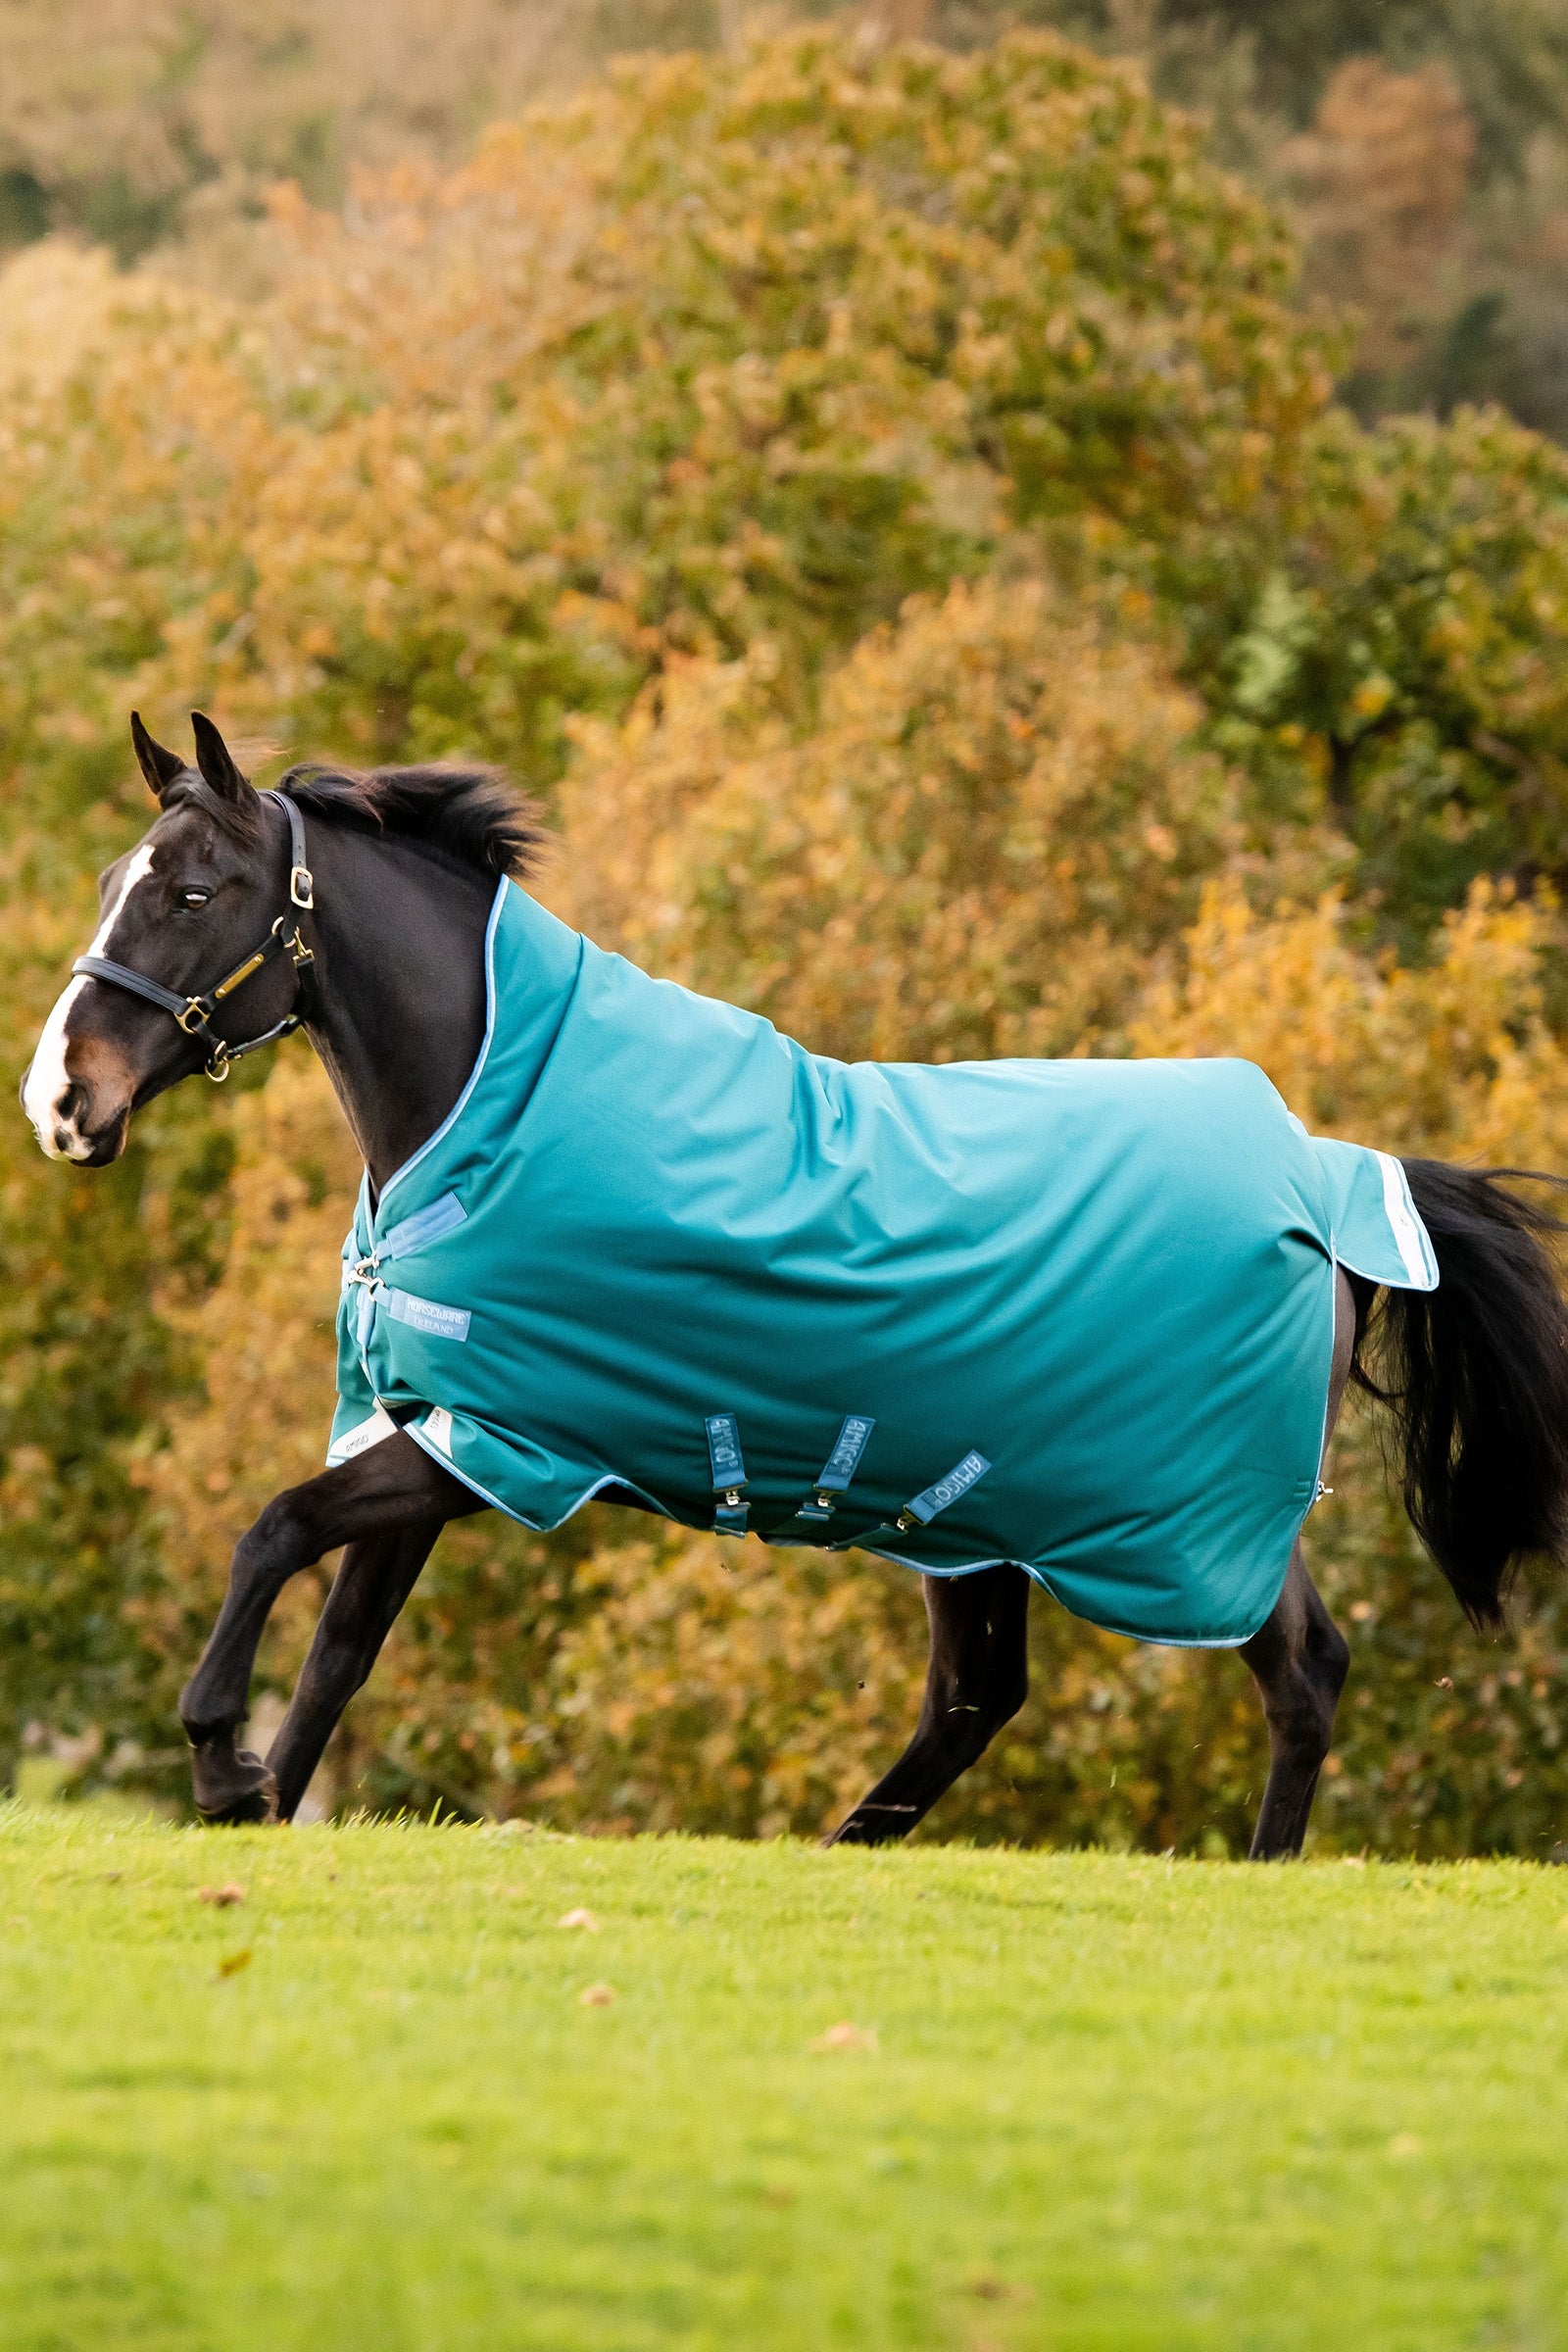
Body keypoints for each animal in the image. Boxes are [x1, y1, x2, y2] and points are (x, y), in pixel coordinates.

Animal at [21, 713, 1568, 1854]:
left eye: (194, 891)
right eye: (112, 885)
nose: (61, 1101)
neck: (492, 1103)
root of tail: (1330, 1175)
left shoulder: (508, 1446)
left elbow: (272, 1532)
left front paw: (216, 1763)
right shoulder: (437, 1434)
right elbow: (338, 1647)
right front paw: (263, 1801)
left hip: (1179, 1524)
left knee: (1301, 1672)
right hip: (979, 1514)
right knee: (978, 1698)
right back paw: (849, 1851)